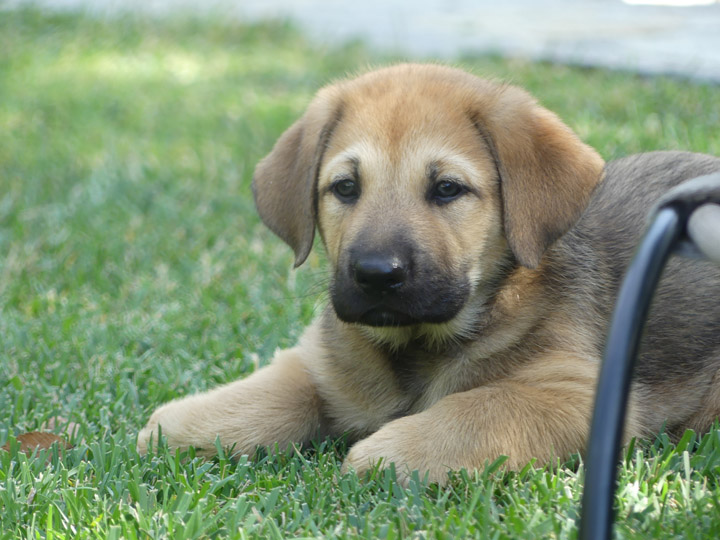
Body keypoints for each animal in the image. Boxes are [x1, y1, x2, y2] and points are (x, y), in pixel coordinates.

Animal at [138, 64, 720, 486]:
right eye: (345, 188)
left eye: (447, 189)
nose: (376, 275)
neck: (416, 349)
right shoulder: (323, 363)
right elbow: (273, 390)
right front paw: (176, 428)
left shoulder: (577, 393)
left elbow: (480, 407)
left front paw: (387, 454)